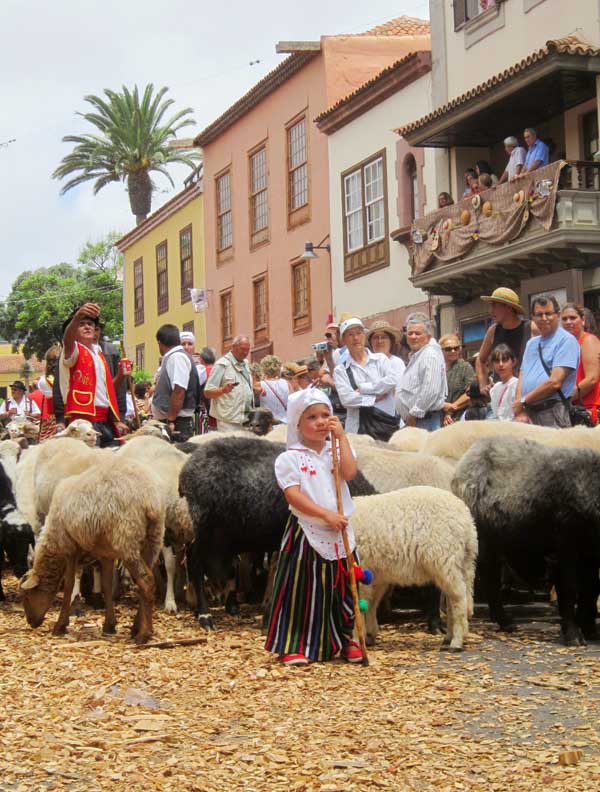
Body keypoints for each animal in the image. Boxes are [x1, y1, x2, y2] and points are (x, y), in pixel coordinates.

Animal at [19, 458, 165, 644]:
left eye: (27, 596)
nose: (31, 622)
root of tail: (150, 499)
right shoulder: (107, 554)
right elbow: (106, 586)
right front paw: (109, 625)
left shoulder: (70, 548)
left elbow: (68, 586)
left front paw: (60, 626)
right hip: (153, 539)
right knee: (147, 583)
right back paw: (136, 628)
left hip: (127, 539)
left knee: (146, 580)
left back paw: (144, 634)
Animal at [352, 488, 478, 648]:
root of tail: (466, 520)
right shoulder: (376, 575)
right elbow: (371, 603)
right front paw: (369, 635)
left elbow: (358, 605)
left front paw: (357, 639)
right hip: (462, 563)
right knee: (454, 599)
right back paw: (449, 637)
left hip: (445, 559)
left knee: (459, 597)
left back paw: (457, 641)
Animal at [454, 436, 600, 648]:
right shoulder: (564, 550)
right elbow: (569, 589)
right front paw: (574, 635)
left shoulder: (590, 552)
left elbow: (591, 587)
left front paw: (589, 629)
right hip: (483, 537)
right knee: (489, 576)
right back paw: (503, 621)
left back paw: (504, 622)